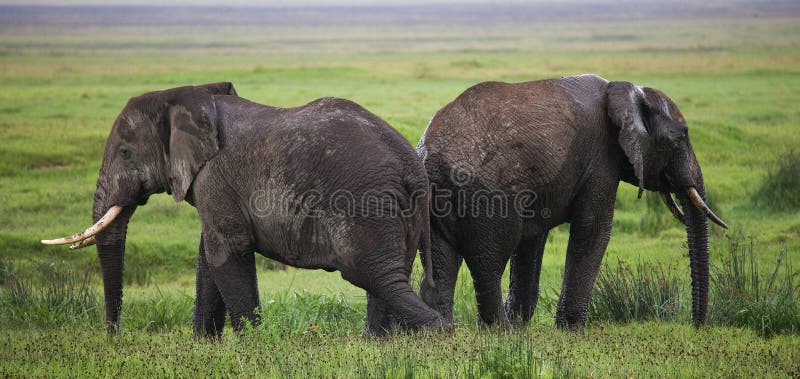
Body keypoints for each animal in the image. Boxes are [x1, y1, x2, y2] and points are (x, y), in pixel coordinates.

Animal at [42, 84, 444, 338]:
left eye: (125, 153)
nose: (114, 336)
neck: (186, 97)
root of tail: (411, 164)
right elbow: (207, 258)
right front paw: (204, 346)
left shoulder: (215, 176)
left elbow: (227, 252)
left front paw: (252, 345)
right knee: (387, 276)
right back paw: (378, 344)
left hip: (363, 202)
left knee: (376, 275)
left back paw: (440, 332)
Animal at [416, 74, 728, 330]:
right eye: (681, 137)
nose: (696, 326)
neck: (625, 91)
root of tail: (432, 157)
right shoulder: (601, 161)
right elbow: (594, 229)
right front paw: (571, 329)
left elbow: (533, 239)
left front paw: (523, 325)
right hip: (487, 194)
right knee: (489, 260)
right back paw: (500, 332)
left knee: (442, 259)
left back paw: (443, 331)